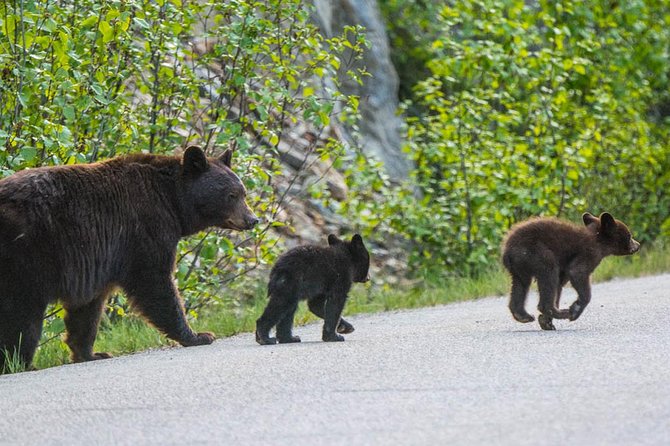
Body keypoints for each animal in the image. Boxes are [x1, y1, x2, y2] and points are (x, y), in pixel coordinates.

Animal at [0, 145, 260, 370]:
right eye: (231, 195)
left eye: (243, 192)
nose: (252, 219)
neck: (172, 200)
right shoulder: (144, 230)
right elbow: (155, 282)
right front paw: (198, 335)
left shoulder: (98, 261)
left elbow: (89, 307)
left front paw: (91, 353)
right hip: (26, 257)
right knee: (21, 316)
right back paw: (20, 363)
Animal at [504, 213, 640, 332]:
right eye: (629, 235)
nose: (638, 245)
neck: (598, 241)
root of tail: (507, 251)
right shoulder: (589, 254)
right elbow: (577, 272)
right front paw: (575, 310)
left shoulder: (564, 268)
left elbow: (559, 285)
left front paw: (546, 321)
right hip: (537, 253)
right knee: (549, 272)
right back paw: (562, 312)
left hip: (520, 267)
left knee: (520, 285)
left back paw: (523, 315)